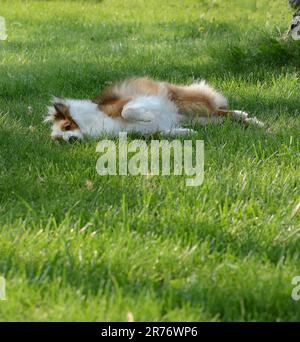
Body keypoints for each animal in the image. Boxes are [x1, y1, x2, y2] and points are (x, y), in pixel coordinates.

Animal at [44, 77, 262, 142]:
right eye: (59, 140)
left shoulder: (132, 100)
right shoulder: (144, 133)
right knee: (223, 117)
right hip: (202, 119)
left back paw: (249, 117)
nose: (70, 140)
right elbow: (163, 132)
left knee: (222, 110)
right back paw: (250, 121)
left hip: (190, 104)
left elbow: (127, 110)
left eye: (67, 127)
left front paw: (146, 116)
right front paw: (185, 133)